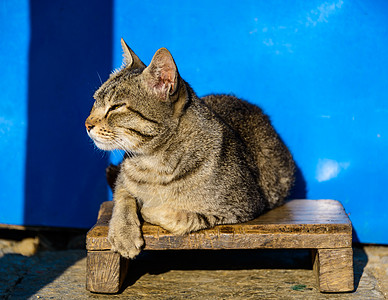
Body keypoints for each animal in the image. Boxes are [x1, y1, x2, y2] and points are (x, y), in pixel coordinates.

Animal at [86, 38, 296, 258]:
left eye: (116, 107)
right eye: (95, 100)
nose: (87, 123)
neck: (152, 161)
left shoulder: (241, 207)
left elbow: (181, 217)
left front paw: (148, 209)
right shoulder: (122, 182)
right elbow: (123, 198)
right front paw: (123, 232)